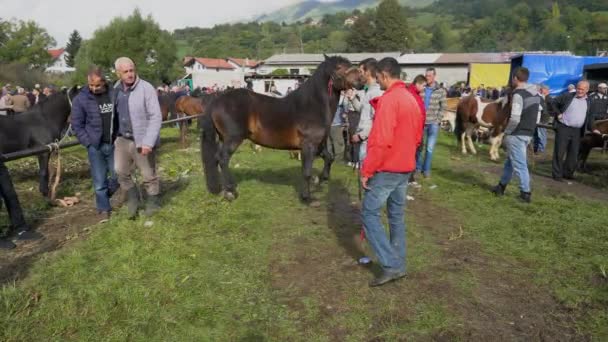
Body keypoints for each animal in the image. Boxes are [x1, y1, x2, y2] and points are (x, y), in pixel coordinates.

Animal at [200, 54, 360, 202]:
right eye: (339, 67)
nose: (360, 81)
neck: (312, 105)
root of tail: (217, 100)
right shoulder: (308, 146)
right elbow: (306, 172)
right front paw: (306, 197)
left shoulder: (319, 145)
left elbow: (329, 158)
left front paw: (321, 179)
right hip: (233, 139)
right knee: (223, 159)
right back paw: (231, 192)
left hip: (223, 139)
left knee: (217, 159)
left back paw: (222, 190)